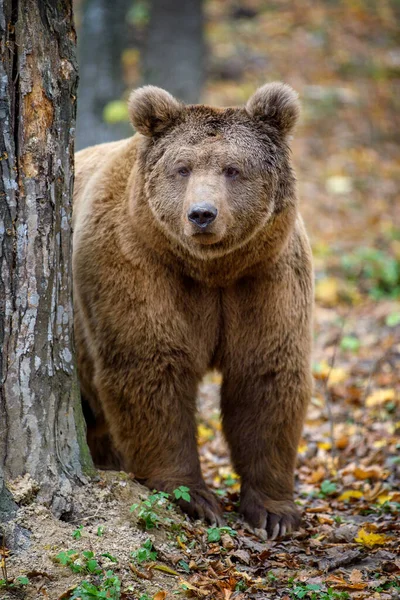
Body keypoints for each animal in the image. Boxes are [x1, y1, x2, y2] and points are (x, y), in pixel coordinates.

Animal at [73, 83, 314, 540]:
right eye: (182, 168)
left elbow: (265, 376)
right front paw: (193, 498)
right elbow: (151, 368)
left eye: (233, 169)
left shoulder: (265, 276)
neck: (210, 270)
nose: (202, 214)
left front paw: (274, 511)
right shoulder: (136, 265)